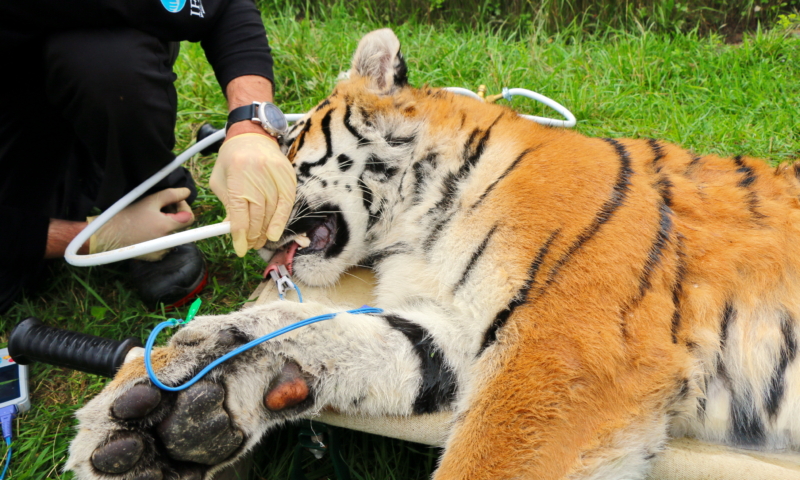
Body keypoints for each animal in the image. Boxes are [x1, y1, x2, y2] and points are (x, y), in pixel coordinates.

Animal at [65, 30, 800, 480]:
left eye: (292, 138)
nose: (244, 227)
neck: (417, 226)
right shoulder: (452, 326)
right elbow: (312, 330)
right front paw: (175, 404)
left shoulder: (566, 352)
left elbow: (486, 459)